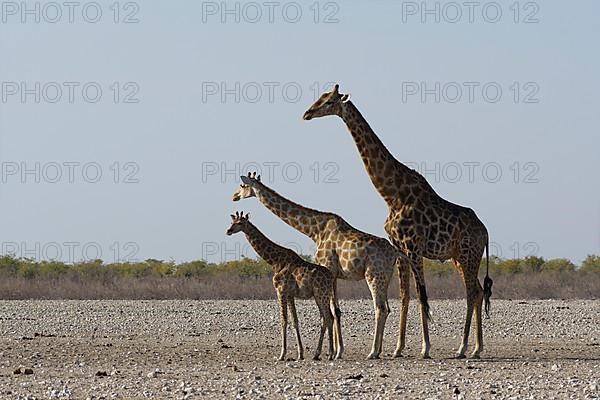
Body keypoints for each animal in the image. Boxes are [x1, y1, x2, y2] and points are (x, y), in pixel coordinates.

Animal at [227, 211, 344, 360]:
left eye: (240, 223)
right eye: (232, 222)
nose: (228, 231)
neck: (275, 261)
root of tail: (331, 278)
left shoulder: (280, 291)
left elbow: (283, 320)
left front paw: (282, 354)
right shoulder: (290, 294)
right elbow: (294, 321)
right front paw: (300, 354)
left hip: (321, 294)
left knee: (328, 318)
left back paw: (330, 353)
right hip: (320, 295)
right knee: (325, 318)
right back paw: (317, 354)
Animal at [302, 84, 494, 360]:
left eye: (328, 101)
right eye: (320, 97)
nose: (307, 113)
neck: (391, 194)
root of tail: (486, 232)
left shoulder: (413, 247)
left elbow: (422, 295)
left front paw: (425, 348)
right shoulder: (400, 248)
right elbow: (405, 296)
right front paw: (398, 348)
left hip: (469, 253)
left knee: (472, 292)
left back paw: (465, 347)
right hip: (459, 256)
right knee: (478, 291)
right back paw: (475, 347)